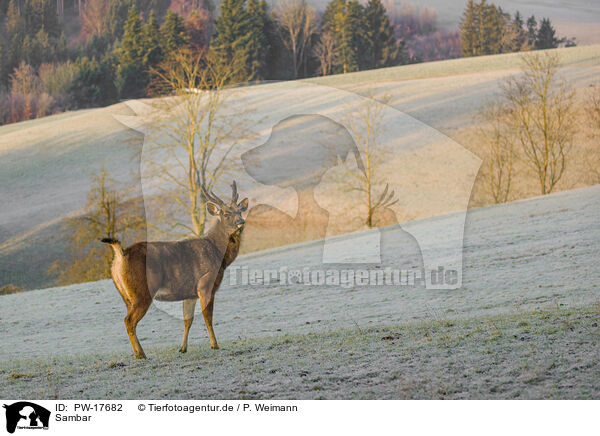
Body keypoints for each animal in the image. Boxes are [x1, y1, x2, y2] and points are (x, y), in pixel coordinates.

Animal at [102, 181, 247, 358]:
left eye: (239, 210)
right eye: (226, 214)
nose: (241, 222)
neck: (219, 254)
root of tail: (121, 254)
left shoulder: (190, 293)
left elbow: (187, 320)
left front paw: (183, 348)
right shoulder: (205, 285)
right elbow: (208, 317)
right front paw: (215, 345)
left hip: (126, 296)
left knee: (128, 319)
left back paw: (140, 352)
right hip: (142, 293)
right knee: (128, 321)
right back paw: (141, 354)